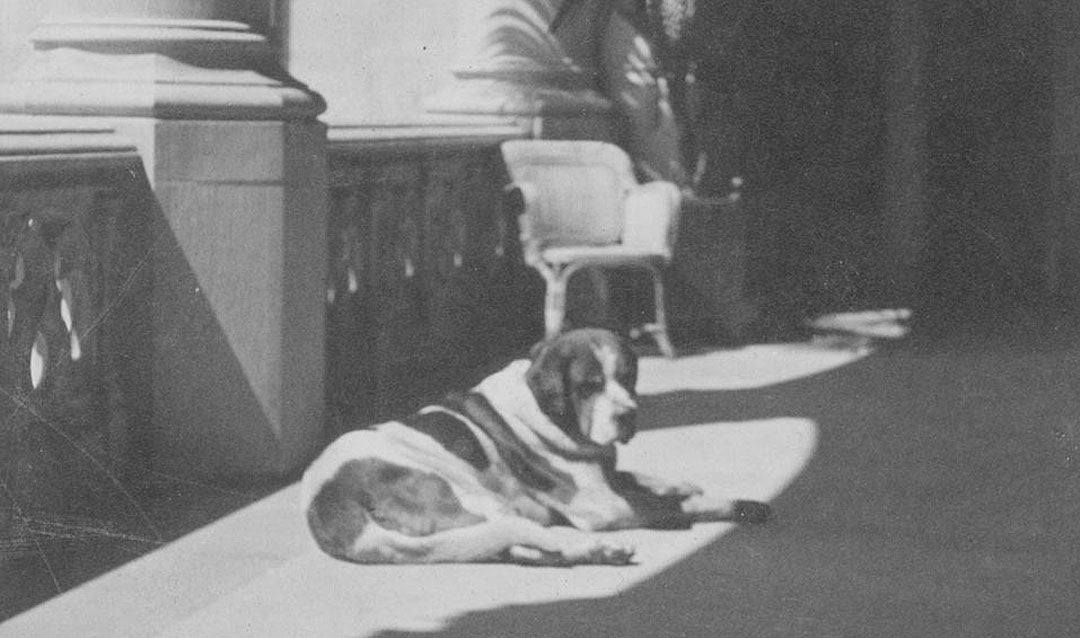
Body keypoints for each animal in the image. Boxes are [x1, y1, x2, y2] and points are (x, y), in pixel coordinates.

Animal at [300, 326, 768, 565]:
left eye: (628, 376)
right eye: (589, 386)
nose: (627, 414)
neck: (546, 410)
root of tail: (326, 499)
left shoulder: (607, 475)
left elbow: (633, 476)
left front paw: (675, 483)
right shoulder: (603, 505)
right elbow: (669, 507)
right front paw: (735, 505)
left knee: (513, 546)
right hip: (473, 497)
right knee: (520, 533)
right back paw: (595, 548)